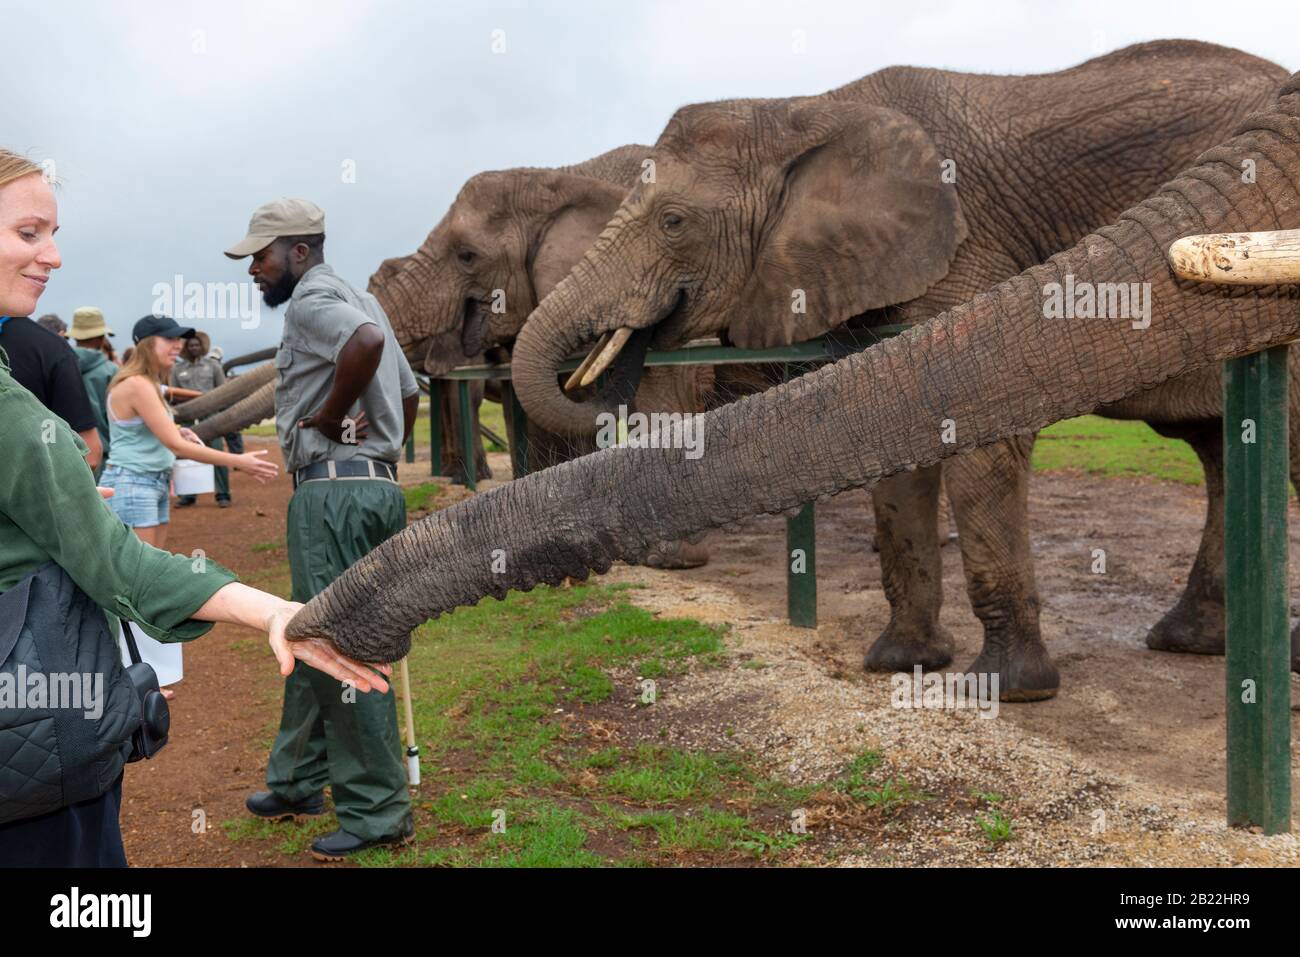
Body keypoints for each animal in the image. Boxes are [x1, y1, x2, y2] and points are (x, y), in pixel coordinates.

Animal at [289, 67, 1300, 676]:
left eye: (673, 223)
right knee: (1223, 446)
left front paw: (1004, 689)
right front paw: (901, 664)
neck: (806, 108)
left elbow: (970, 440)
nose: (307, 635)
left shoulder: (960, 243)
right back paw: (1195, 642)